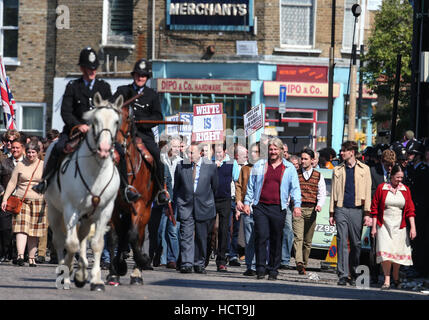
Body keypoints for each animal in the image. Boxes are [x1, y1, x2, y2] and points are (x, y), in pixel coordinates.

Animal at [45, 93, 122, 292]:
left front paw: (95, 280)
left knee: (82, 238)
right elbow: (70, 244)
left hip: (88, 216)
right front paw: (68, 273)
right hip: (54, 211)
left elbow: (96, 244)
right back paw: (64, 271)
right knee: (60, 241)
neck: (95, 171)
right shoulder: (70, 209)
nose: (104, 149)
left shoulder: (105, 211)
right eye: (94, 121)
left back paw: (80, 272)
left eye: (117, 121)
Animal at [106, 104, 158, 284]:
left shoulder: (139, 205)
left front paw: (142, 261)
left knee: (139, 235)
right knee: (123, 234)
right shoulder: (113, 207)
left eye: (128, 118)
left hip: (146, 211)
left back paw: (137, 271)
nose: (117, 144)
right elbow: (114, 237)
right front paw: (113, 272)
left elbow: (134, 236)